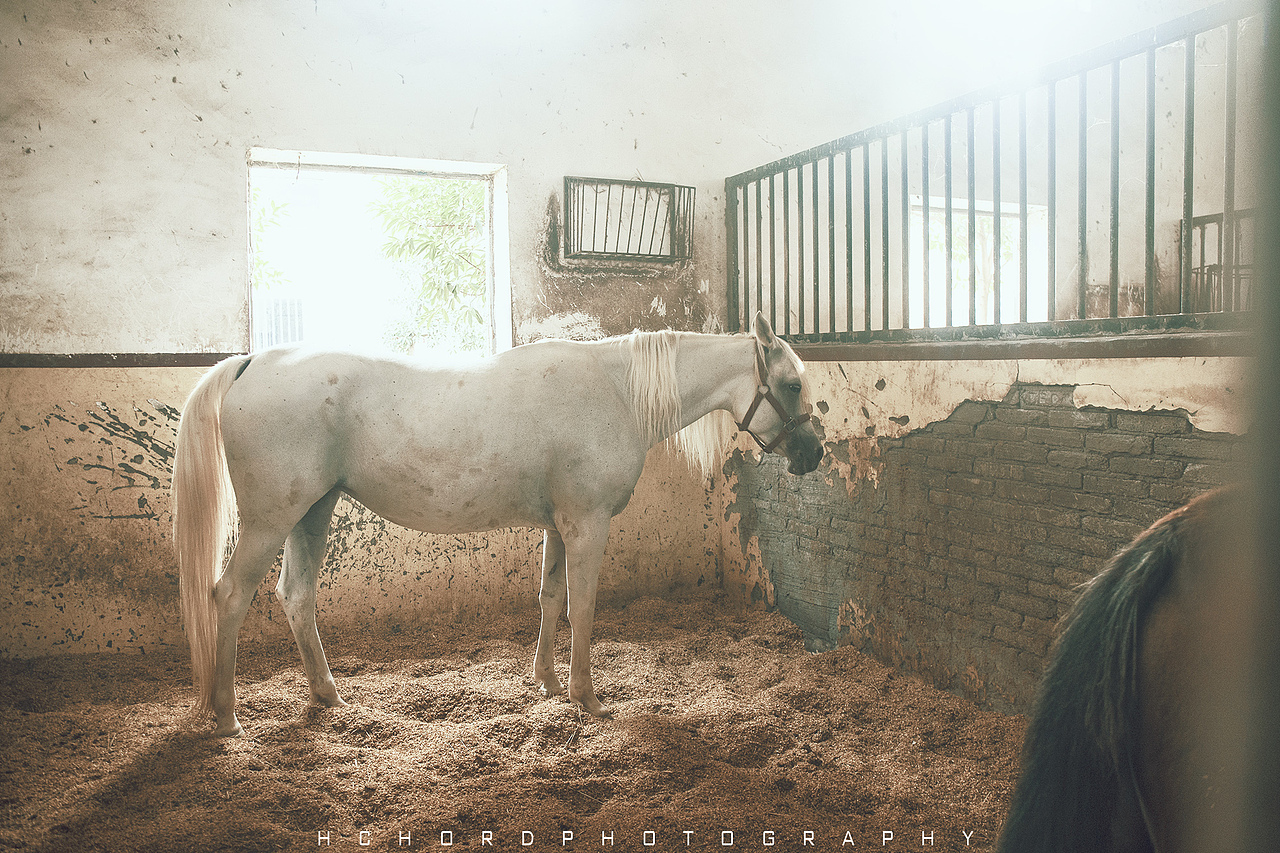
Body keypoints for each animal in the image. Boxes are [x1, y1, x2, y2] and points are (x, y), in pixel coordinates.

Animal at [172, 313, 823, 737]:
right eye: (792, 385)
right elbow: (584, 605)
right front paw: (587, 698)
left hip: (313, 511)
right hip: (270, 520)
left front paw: (549, 683)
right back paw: (226, 717)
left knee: (297, 596)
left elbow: (551, 598)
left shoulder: (559, 525)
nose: (813, 456)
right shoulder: (587, 524)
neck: (615, 390)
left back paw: (327, 694)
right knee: (229, 597)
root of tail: (252, 361)